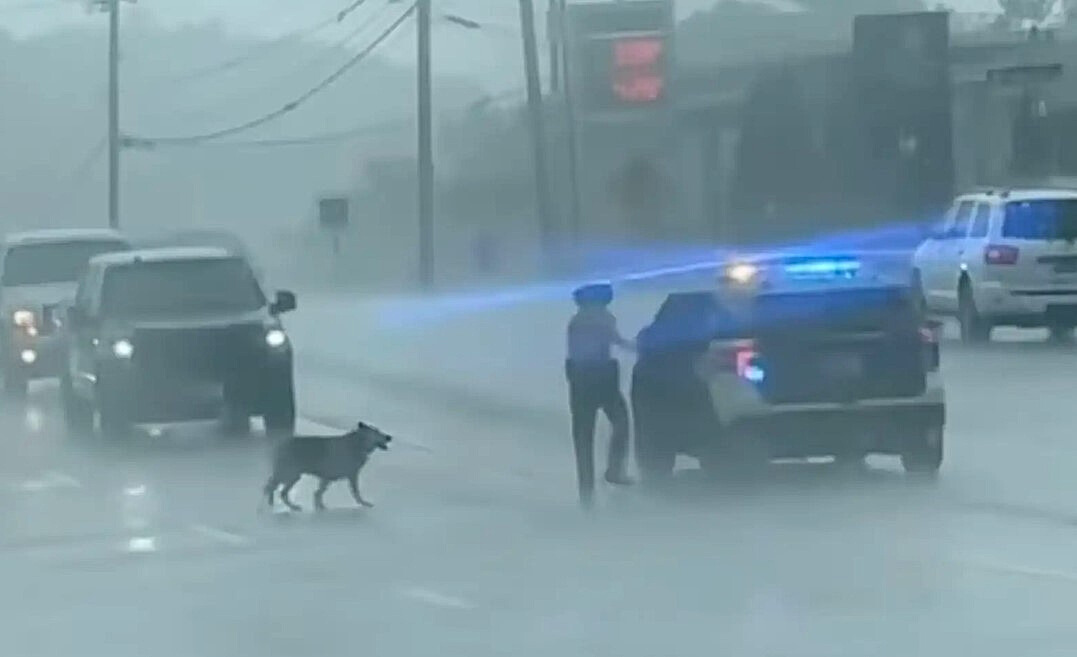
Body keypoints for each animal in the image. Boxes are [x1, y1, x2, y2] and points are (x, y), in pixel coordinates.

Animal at [262, 420, 394, 512]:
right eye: (376, 431)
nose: (389, 437)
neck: (357, 444)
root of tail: (281, 444)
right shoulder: (350, 476)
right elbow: (356, 493)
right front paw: (365, 503)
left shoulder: (326, 478)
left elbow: (318, 493)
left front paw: (320, 507)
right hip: (290, 474)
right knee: (277, 490)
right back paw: (289, 507)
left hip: (289, 475)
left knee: (273, 487)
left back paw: (272, 503)